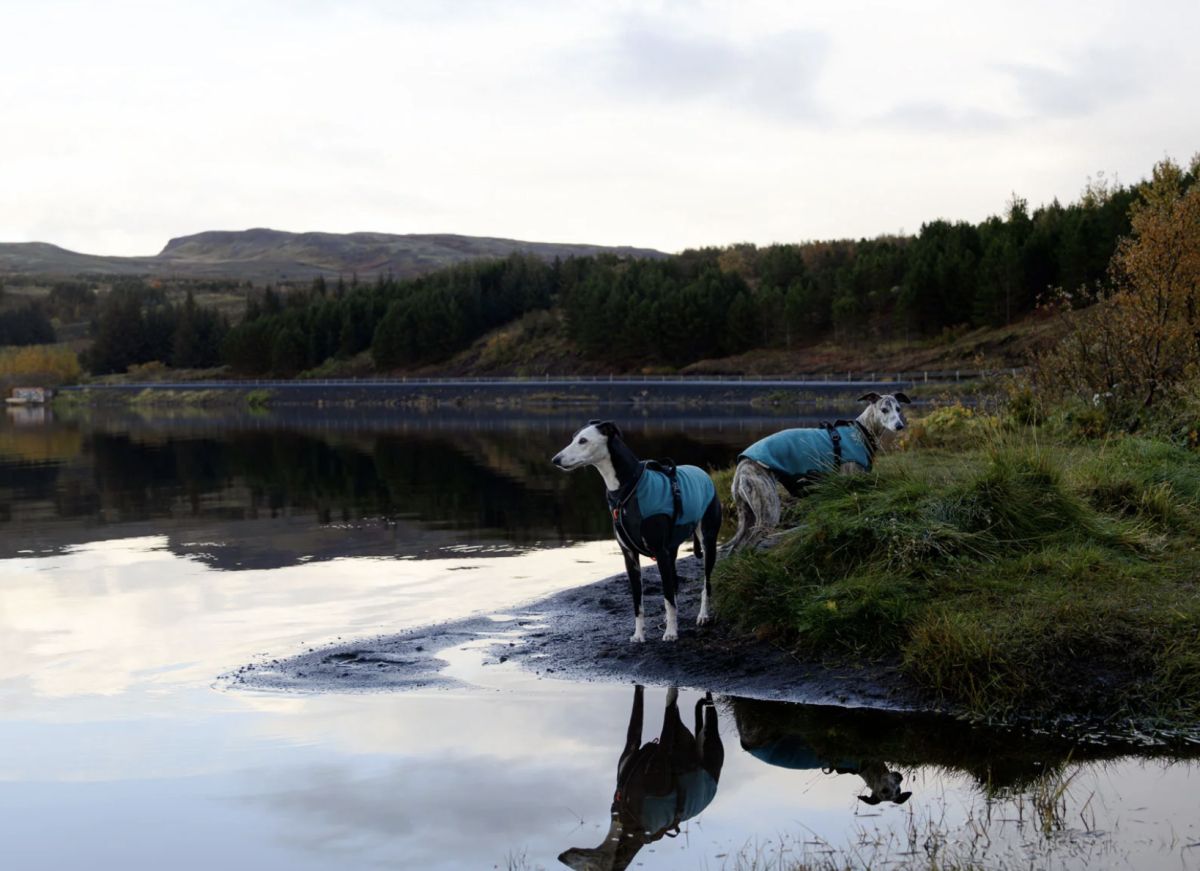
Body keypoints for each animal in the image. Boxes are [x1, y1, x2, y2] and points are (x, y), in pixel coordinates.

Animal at [552, 420, 722, 642]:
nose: (556, 460)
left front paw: (671, 633)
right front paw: (639, 635)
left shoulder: (660, 552)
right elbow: (638, 602)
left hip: (707, 542)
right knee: (674, 584)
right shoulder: (630, 556)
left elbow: (668, 597)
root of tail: (703, 473)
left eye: (583, 440)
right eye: (573, 438)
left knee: (705, 584)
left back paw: (702, 615)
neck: (626, 489)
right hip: (672, 549)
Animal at [558, 686, 724, 871]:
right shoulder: (638, 747)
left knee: (706, 712)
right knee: (689, 719)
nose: (560, 857)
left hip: (709, 740)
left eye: (586, 869)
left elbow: (665, 705)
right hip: (694, 738)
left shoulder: (658, 759)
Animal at [725, 392, 910, 552]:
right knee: (748, 544)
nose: (899, 426)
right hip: (767, 510)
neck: (862, 429)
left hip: (747, 515)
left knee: (736, 548)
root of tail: (742, 466)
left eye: (898, 409)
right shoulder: (851, 481)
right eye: (884, 410)